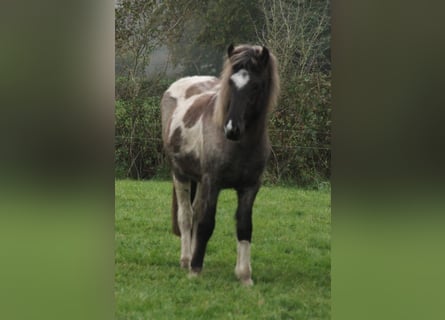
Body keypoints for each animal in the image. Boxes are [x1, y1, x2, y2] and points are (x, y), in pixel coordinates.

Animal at [160, 43, 278, 284]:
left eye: (256, 86)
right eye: (230, 83)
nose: (232, 129)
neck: (239, 146)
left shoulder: (250, 188)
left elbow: (244, 226)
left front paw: (244, 276)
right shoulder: (212, 183)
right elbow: (206, 223)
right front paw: (195, 269)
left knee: (194, 214)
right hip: (180, 174)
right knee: (187, 217)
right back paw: (186, 259)